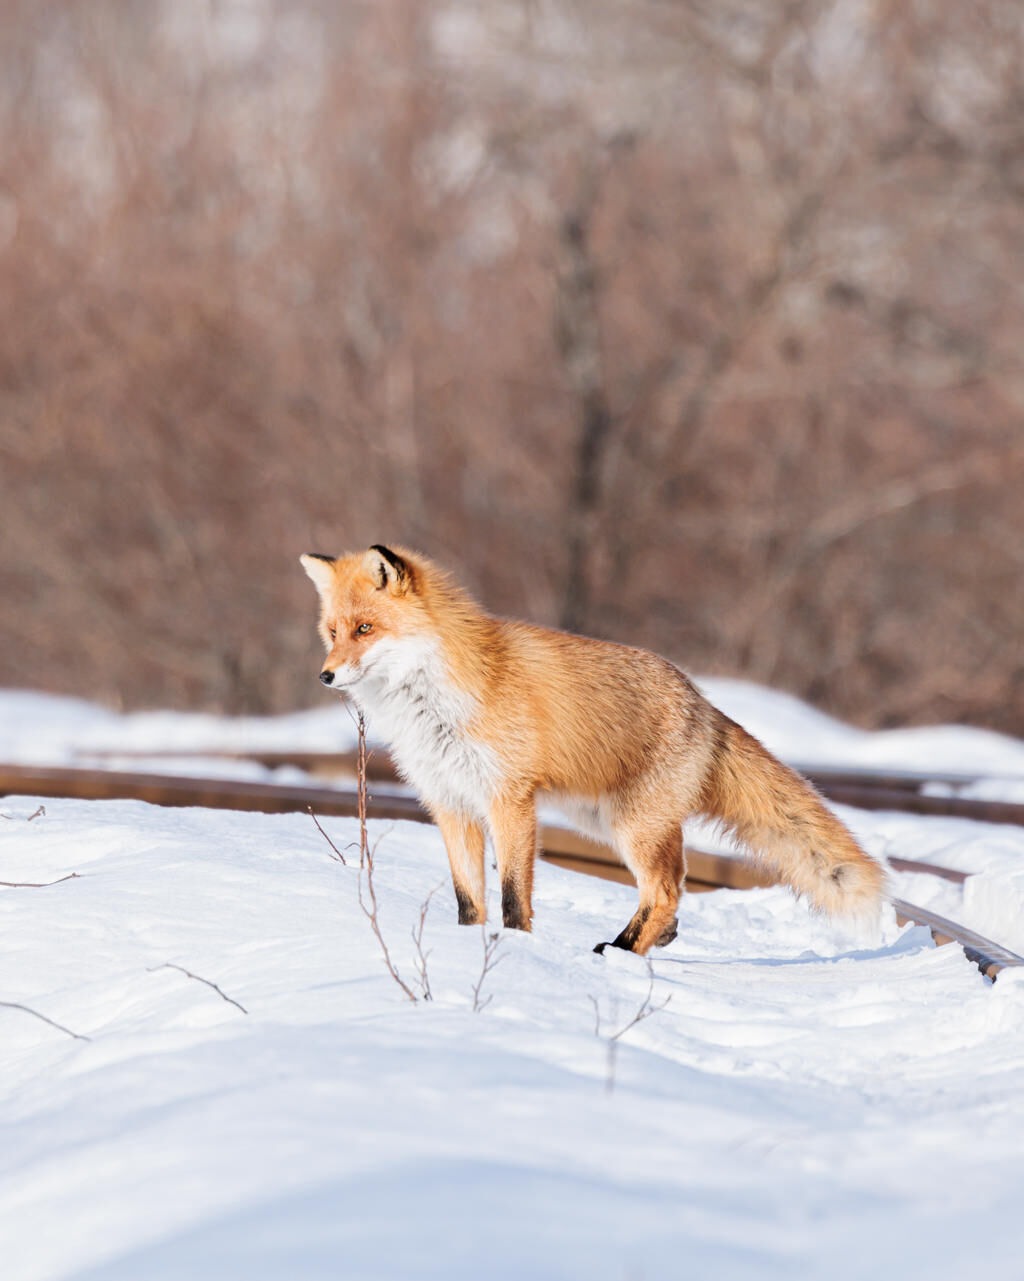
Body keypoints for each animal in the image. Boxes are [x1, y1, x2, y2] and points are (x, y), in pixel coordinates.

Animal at [299, 545, 886, 958]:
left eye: (365, 629)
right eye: (333, 631)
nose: (324, 675)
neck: (434, 704)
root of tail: (702, 700)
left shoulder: (509, 799)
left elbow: (512, 896)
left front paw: (516, 949)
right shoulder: (450, 802)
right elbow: (469, 899)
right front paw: (466, 945)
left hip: (632, 826)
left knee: (665, 890)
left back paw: (619, 952)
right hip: (606, 821)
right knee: (673, 888)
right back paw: (647, 942)